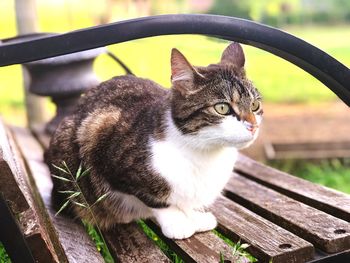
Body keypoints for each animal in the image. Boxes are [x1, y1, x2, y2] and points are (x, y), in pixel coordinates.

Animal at [44, 42, 262, 240]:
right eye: (222, 108)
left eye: (255, 105)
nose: (253, 126)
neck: (204, 152)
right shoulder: (103, 139)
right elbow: (155, 199)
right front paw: (177, 221)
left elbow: (186, 200)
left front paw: (194, 216)